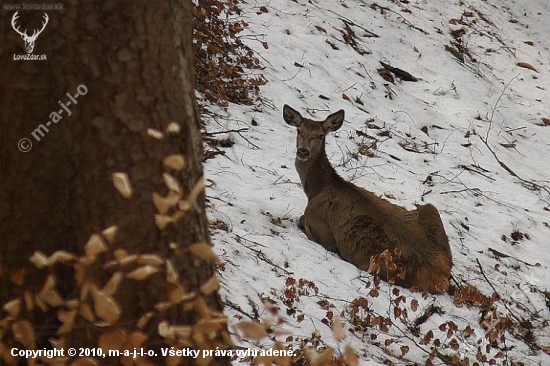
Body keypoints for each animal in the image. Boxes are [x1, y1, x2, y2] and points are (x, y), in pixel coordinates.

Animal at [282, 104, 454, 294]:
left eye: (320, 135)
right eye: (299, 130)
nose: (303, 151)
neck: (316, 190)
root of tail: (441, 276)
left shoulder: (321, 229)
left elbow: (301, 219)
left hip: (378, 266)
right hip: (430, 209)